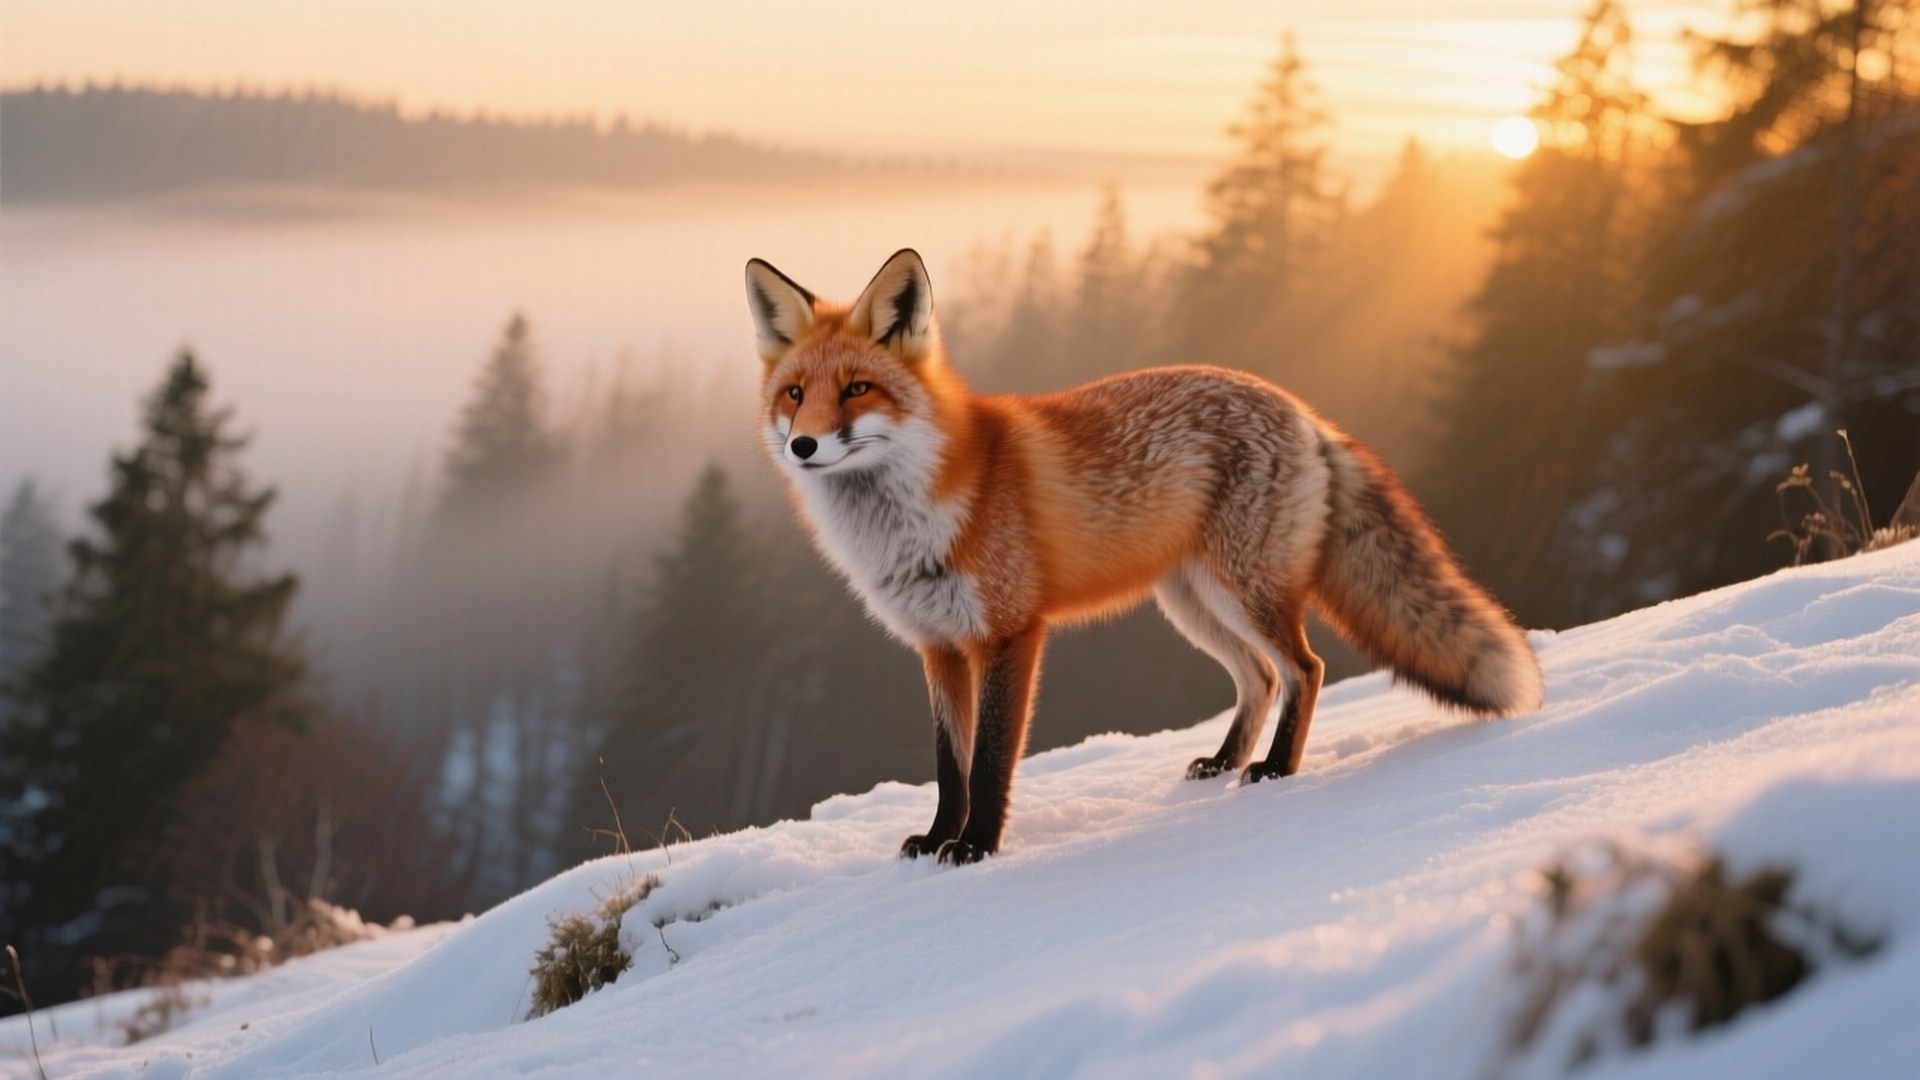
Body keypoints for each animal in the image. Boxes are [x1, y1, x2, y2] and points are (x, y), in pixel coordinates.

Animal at [745, 248, 1543, 865]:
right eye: (795, 394)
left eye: (857, 389)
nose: (803, 446)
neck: (907, 523)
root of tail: (1304, 411)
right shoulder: (937, 645)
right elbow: (950, 765)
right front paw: (940, 837)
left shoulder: (1009, 633)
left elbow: (993, 760)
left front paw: (976, 848)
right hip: (1194, 605)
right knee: (1259, 678)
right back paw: (1224, 760)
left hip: (1244, 594)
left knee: (1305, 669)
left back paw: (1275, 769)